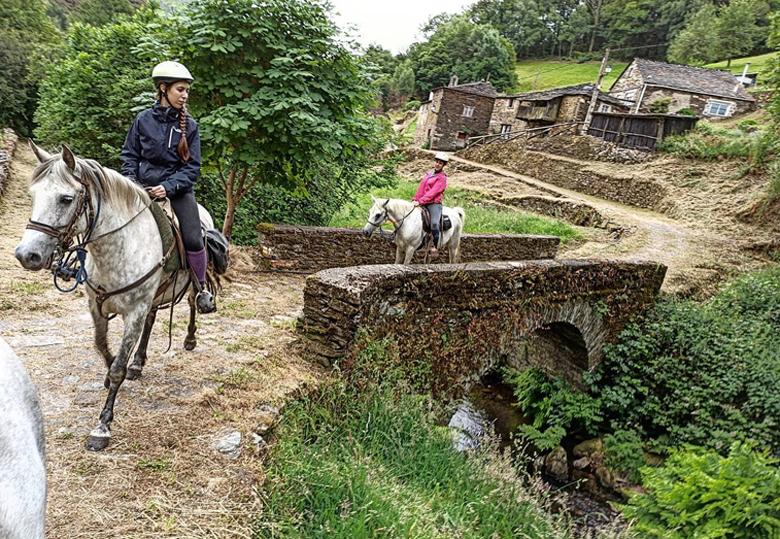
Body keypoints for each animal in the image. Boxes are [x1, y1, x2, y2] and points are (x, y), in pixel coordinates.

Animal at [17, 142, 213, 452]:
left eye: (66, 199)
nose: (27, 255)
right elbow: (101, 346)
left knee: (194, 302)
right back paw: (139, 361)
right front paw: (110, 375)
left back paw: (190, 337)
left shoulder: (134, 312)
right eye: (33, 196)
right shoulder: (96, 306)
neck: (118, 247)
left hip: (190, 283)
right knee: (152, 321)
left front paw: (102, 426)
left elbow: (119, 366)